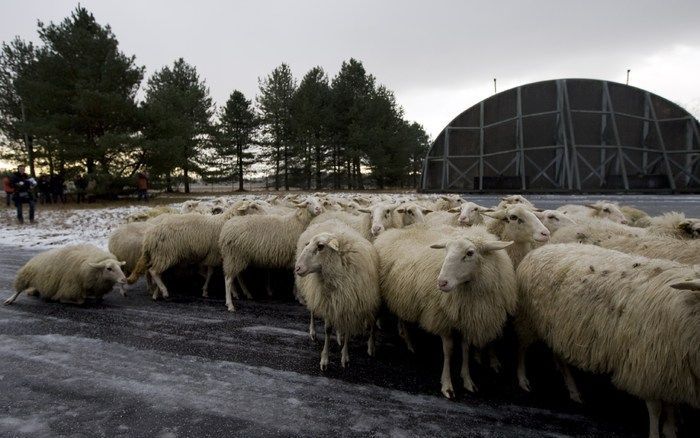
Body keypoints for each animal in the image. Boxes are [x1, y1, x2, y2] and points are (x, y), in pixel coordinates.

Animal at [292, 222, 380, 370]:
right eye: (308, 244)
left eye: (320, 246)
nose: (297, 268)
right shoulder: (327, 301)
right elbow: (327, 330)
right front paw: (324, 360)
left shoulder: (350, 304)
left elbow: (347, 330)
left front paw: (345, 357)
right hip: (313, 293)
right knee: (312, 311)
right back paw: (313, 333)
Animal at [374, 224, 516, 398]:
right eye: (446, 250)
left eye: (470, 253)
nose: (441, 282)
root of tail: (392, 231)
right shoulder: (441, 319)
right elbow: (448, 351)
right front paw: (447, 385)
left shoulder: (466, 319)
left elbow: (465, 349)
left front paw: (468, 380)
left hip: (401, 295)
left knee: (402, 316)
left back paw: (408, 342)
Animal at [516, 243, 700, 438]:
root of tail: (542, 248)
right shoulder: (646, 366)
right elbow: (655, 409)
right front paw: (656, 433)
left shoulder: (672, 369)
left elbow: (671, 404)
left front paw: (670, 429)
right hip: (528, 318)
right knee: (521, 348)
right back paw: (523, 380)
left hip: (559, 329)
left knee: (560, 357)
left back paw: (573, 391)